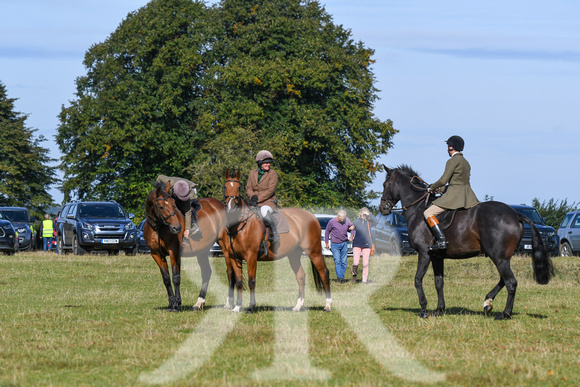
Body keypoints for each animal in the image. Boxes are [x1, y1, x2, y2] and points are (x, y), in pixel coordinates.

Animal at [144, 182, 225, 312]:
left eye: (173, 205)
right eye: (161, 207)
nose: (177, 228)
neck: (158, 228)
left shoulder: (174, 252)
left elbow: (176, 277)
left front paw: (176, 304)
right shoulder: (156, 254)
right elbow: (166, 278)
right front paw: (171, 303)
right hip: (202, 251)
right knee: (206, 272)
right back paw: (199, 303)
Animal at [220, 170, 334, 316]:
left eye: (238, 188)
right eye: (225, 187)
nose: (230, 208)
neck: (241, 225)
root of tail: (312, 216)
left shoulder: (251, 257)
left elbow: (251, 281)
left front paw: (251, 307)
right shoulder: (235, 258)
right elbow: (239, 281)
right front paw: (237, 307)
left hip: (314, 252)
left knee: (324, 273)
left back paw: (328, 305)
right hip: (294, 255)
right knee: (301, 276)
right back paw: (298, 306)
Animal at [380, 165, 552, 320]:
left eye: (385, 185)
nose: (383, 208)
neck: (418, 209)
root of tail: (515, 214)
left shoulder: (424, 253)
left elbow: (417, 280)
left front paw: (424, 310)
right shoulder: (436, 257)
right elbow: (438, 282)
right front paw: (439, 310)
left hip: (499, 258)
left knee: (511, 282)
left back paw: (504, 314)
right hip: (503, 257)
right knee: (504, 280)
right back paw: (488, 302)